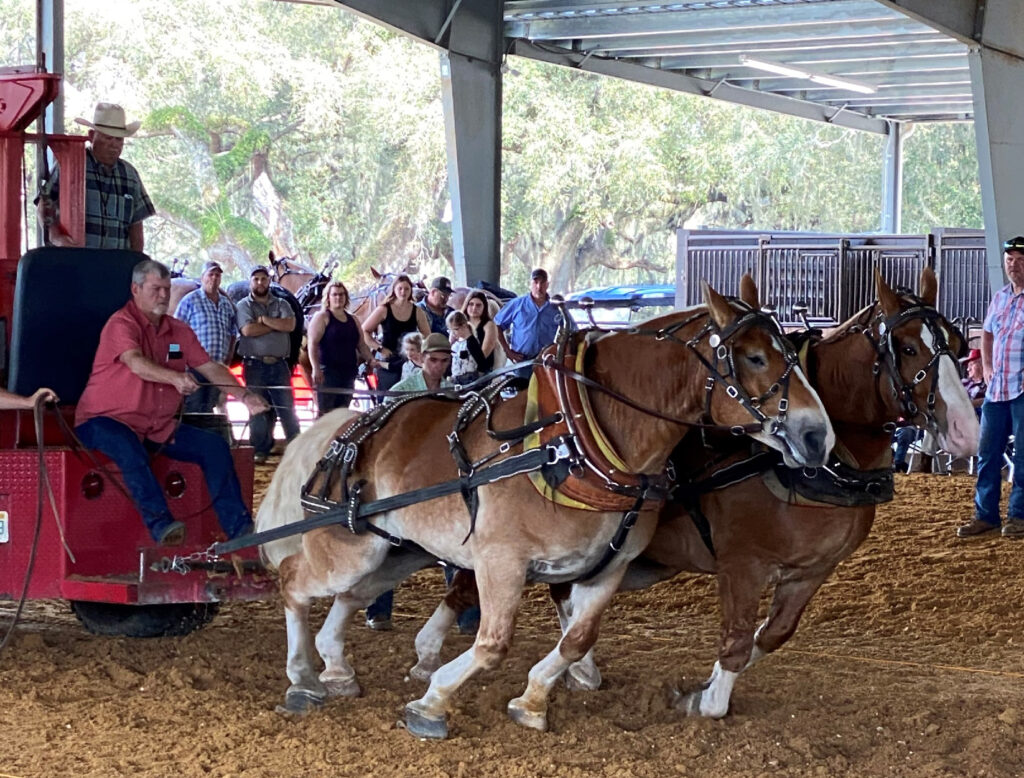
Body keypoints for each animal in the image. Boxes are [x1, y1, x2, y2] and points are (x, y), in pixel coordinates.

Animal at [253, 278, 831, 737]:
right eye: (755, 358)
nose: (817, 436)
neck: (574, 445)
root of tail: (349, 427)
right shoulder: (502, 562)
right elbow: (492, 645)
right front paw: (432, 703)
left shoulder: (607, 568)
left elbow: (577, 640)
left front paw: (531, 702)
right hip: (347, 549)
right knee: (295, 581)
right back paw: (303, 679)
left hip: (395, 550)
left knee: (350, 596)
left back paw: (336, 668)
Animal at [411, 268, 978, 716]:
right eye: (908, 347)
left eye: (957, 342)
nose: (967, 432)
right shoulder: (743, 564)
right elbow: (736, 640)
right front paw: (706, 700)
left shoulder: (812, 572)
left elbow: (770, 636)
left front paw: (706, 683)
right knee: (471, 584)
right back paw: (429, 653)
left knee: (559, 593)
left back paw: (576, 668)